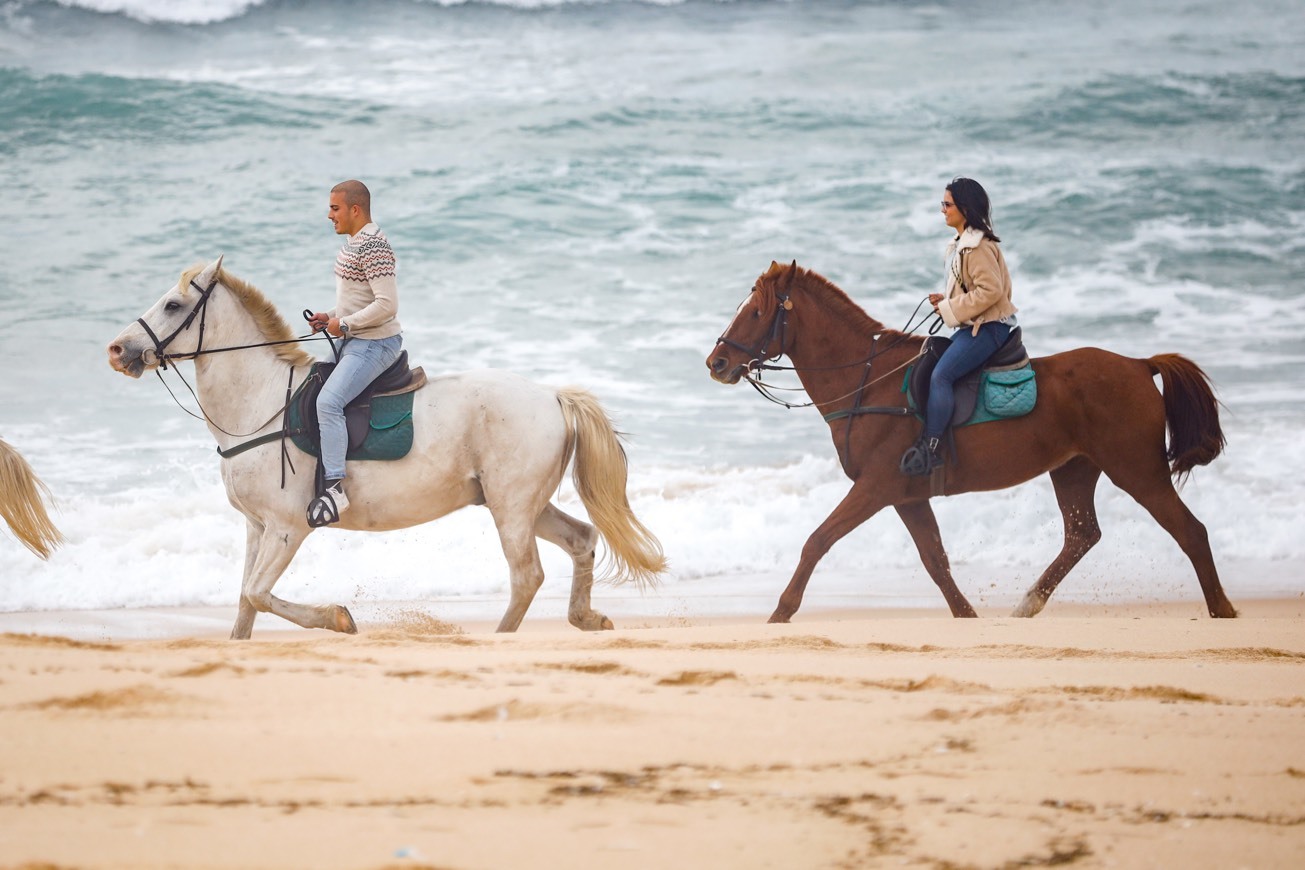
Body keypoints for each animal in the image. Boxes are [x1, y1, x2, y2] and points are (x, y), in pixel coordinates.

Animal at [107, 258, 668, 639]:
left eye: (173, 305)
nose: (118, 350)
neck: (261, 404)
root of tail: (551, 396)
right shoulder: (256, 527)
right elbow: (245, 604)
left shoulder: (287, 529)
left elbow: (256, 593)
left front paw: (338, 617)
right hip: (521, 503)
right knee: (581, 539)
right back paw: (587, 618)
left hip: (510, 506)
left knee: (527, 574)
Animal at [704, 262, 1231, 623]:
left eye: (756, 311)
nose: (717, 362)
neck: (868, 382)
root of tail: (1140, 365)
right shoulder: (906, 496)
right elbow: (935, 559)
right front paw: (966, 615)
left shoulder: (875, 488)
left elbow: (817, 540)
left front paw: (781, 611)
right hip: (1074, 468)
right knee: (1083, 534)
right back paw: (1028, 603)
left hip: (1137, 470)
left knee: (1191, 531)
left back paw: (1221, 608)